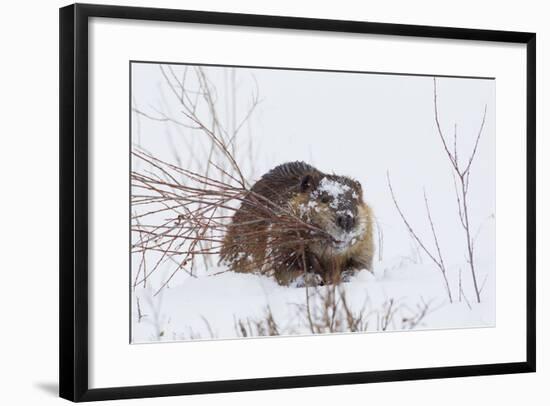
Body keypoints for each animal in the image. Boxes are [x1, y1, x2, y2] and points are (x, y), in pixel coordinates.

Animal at [220, 161, 376, 286]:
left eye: (356, 200)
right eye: (324, 199)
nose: (346, 219)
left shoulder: (365, 246)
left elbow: (361, 266)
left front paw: (347, 277)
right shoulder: (280, 235)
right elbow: (283, 268)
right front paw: (313, 278)